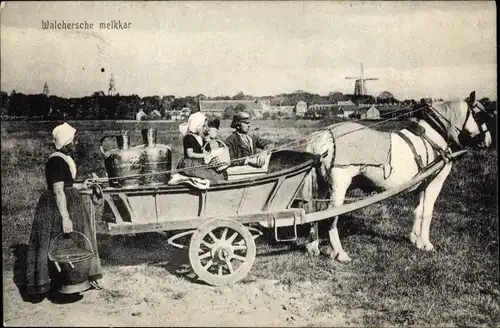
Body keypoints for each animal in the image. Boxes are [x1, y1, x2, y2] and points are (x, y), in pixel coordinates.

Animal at [300, 91, 492, 262]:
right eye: (481, 116)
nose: (488, 141)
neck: (434, 135)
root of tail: (324, 135)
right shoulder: (435, 182)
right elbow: (427, 212)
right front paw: (426, 243)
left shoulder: (423, 183)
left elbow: (418, 211)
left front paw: (415, 239)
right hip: (339, 186)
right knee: (331, 216)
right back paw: (339, 253)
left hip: (323, 185)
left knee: (316, 211)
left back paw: (313, 246)